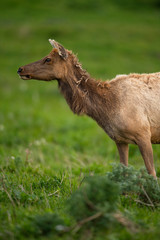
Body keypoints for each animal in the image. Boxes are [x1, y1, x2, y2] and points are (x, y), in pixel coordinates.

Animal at [17, 39, 160, 178]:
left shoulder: (143, 133)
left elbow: (152, 173)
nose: (20, 69)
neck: (109, 106)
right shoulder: (119, 139)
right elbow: (123, 173)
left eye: (48, 59)